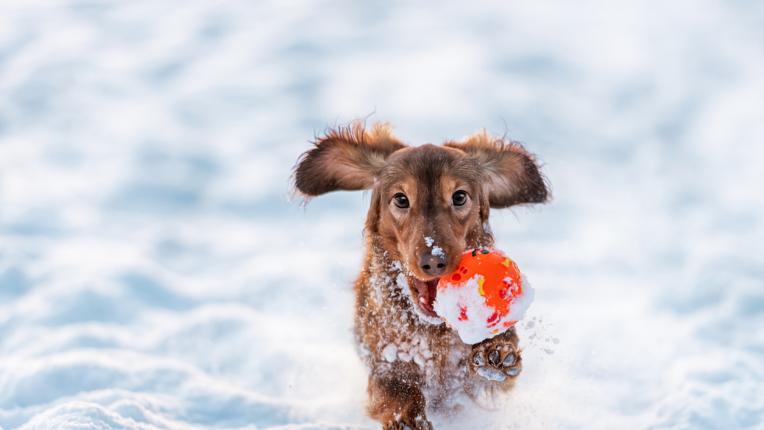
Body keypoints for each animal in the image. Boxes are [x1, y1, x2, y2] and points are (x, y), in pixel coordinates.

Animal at [292, 122, 548, 428]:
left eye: (459, 197)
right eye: (401, 199)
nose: (434, 261)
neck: (432, 332)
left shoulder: (476, 385)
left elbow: (494, 369)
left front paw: (495, 353)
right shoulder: (384, 360)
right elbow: (395, 388)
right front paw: (407, 417)